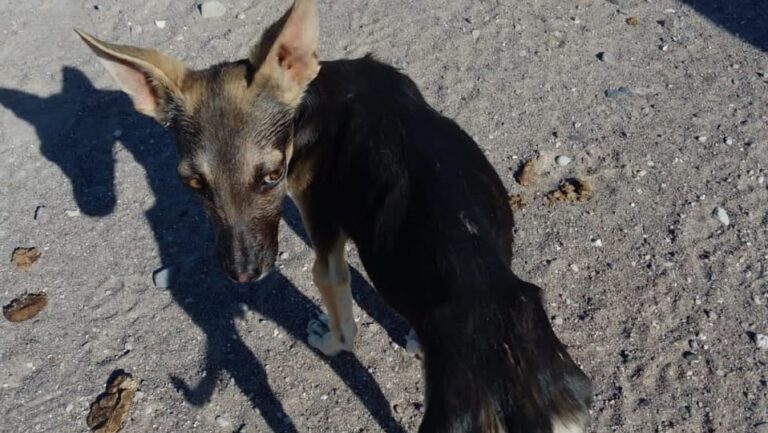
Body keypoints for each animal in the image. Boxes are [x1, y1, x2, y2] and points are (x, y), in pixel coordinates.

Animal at [78, 1, 592, 430]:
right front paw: (413, 338)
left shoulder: (323, 248)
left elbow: (345, 330)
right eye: (194, 184)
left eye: (271, 177)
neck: (319, 95)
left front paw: (325, 337)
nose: (244, 275)